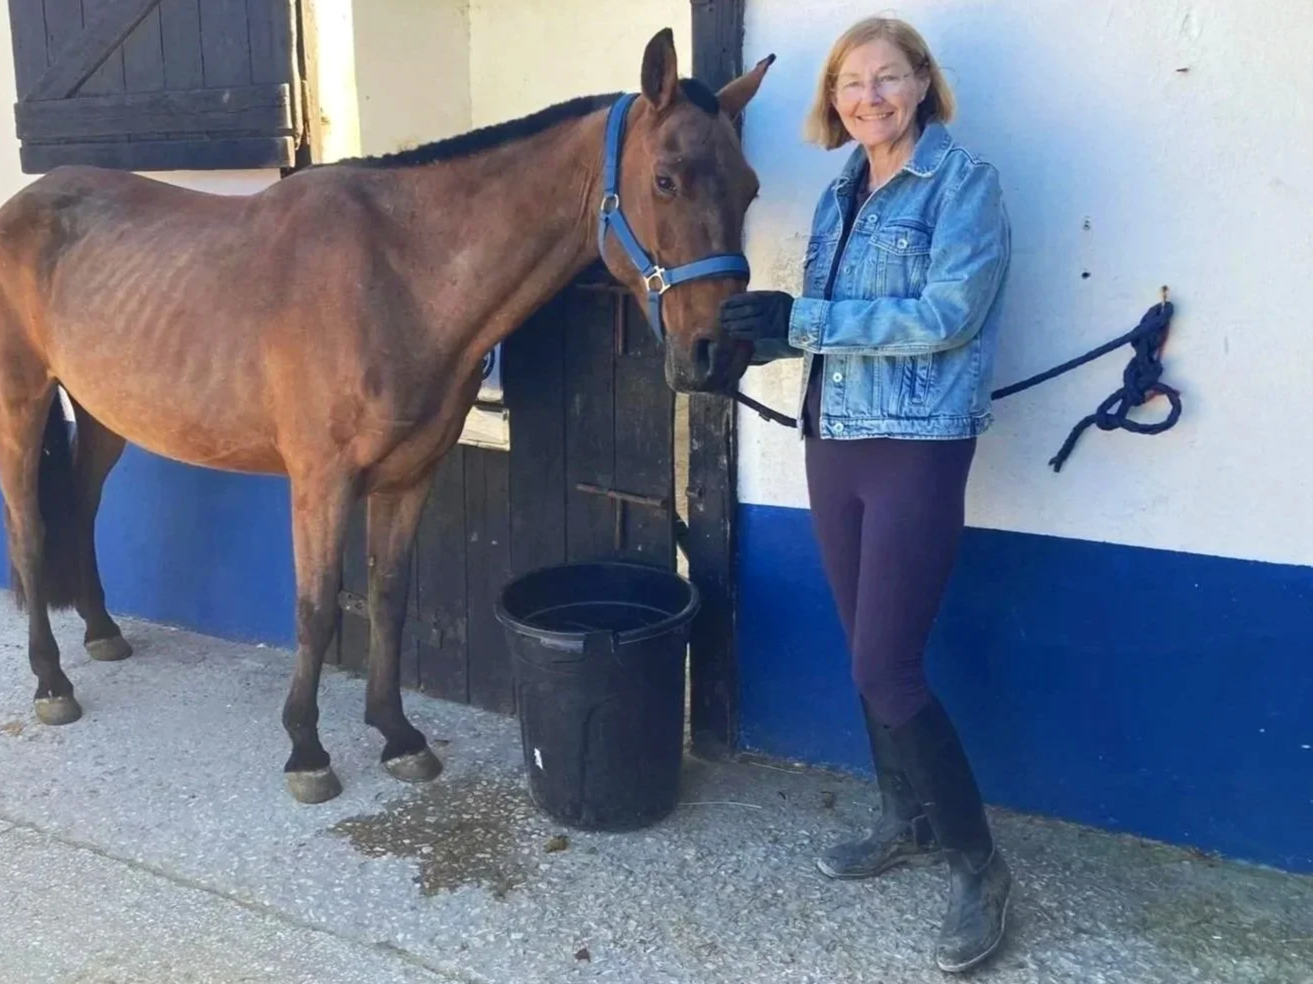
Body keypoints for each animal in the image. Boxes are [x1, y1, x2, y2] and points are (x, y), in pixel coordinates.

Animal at [0, 28, 774, 803]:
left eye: (750, 188)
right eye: (666, 179)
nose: (718, 352)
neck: (398, 272)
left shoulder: (409, 477)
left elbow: (390, 596)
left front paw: (397, 735)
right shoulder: (320, 480)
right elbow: (315, 608)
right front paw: (306, 750)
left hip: (104, 414)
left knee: (81, 507)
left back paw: (101, 631)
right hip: (22, 405)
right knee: (31, 528)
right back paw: (51, 682)